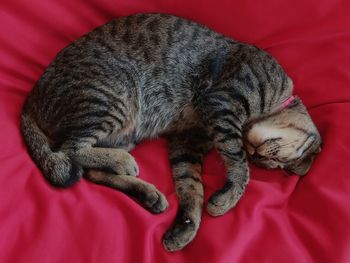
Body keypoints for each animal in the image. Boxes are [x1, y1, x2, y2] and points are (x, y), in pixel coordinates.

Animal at [20, 13, 322, 253]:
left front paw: (186, 227)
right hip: (113, 96)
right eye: (276, 160)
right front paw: (230, 197)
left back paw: (146, 193)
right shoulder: (222, 103)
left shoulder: (186, 142)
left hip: (123, 131)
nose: (259, 156)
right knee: (69, 148)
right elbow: (238, 163)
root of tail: (31, 98)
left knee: (91, 171)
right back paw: (122, 162)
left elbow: (191, 187)